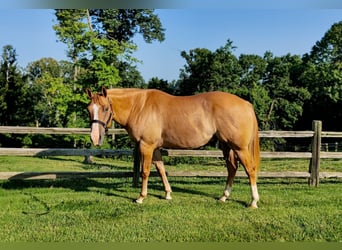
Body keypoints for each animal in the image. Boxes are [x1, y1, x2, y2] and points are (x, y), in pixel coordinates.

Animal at [85, 87, 260, 208]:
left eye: (105, 108)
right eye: (88, 109)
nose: (95, 137)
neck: (139, 107)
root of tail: (246, 104)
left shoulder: (146, 146)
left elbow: (145, 172)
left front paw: (141, 197)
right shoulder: (155, 148)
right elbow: (161, 169)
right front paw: (168, 194)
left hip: (239, 148)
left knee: (250, 170)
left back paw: (253, 201)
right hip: (226, 146)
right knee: (232, 168)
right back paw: (224, 196)